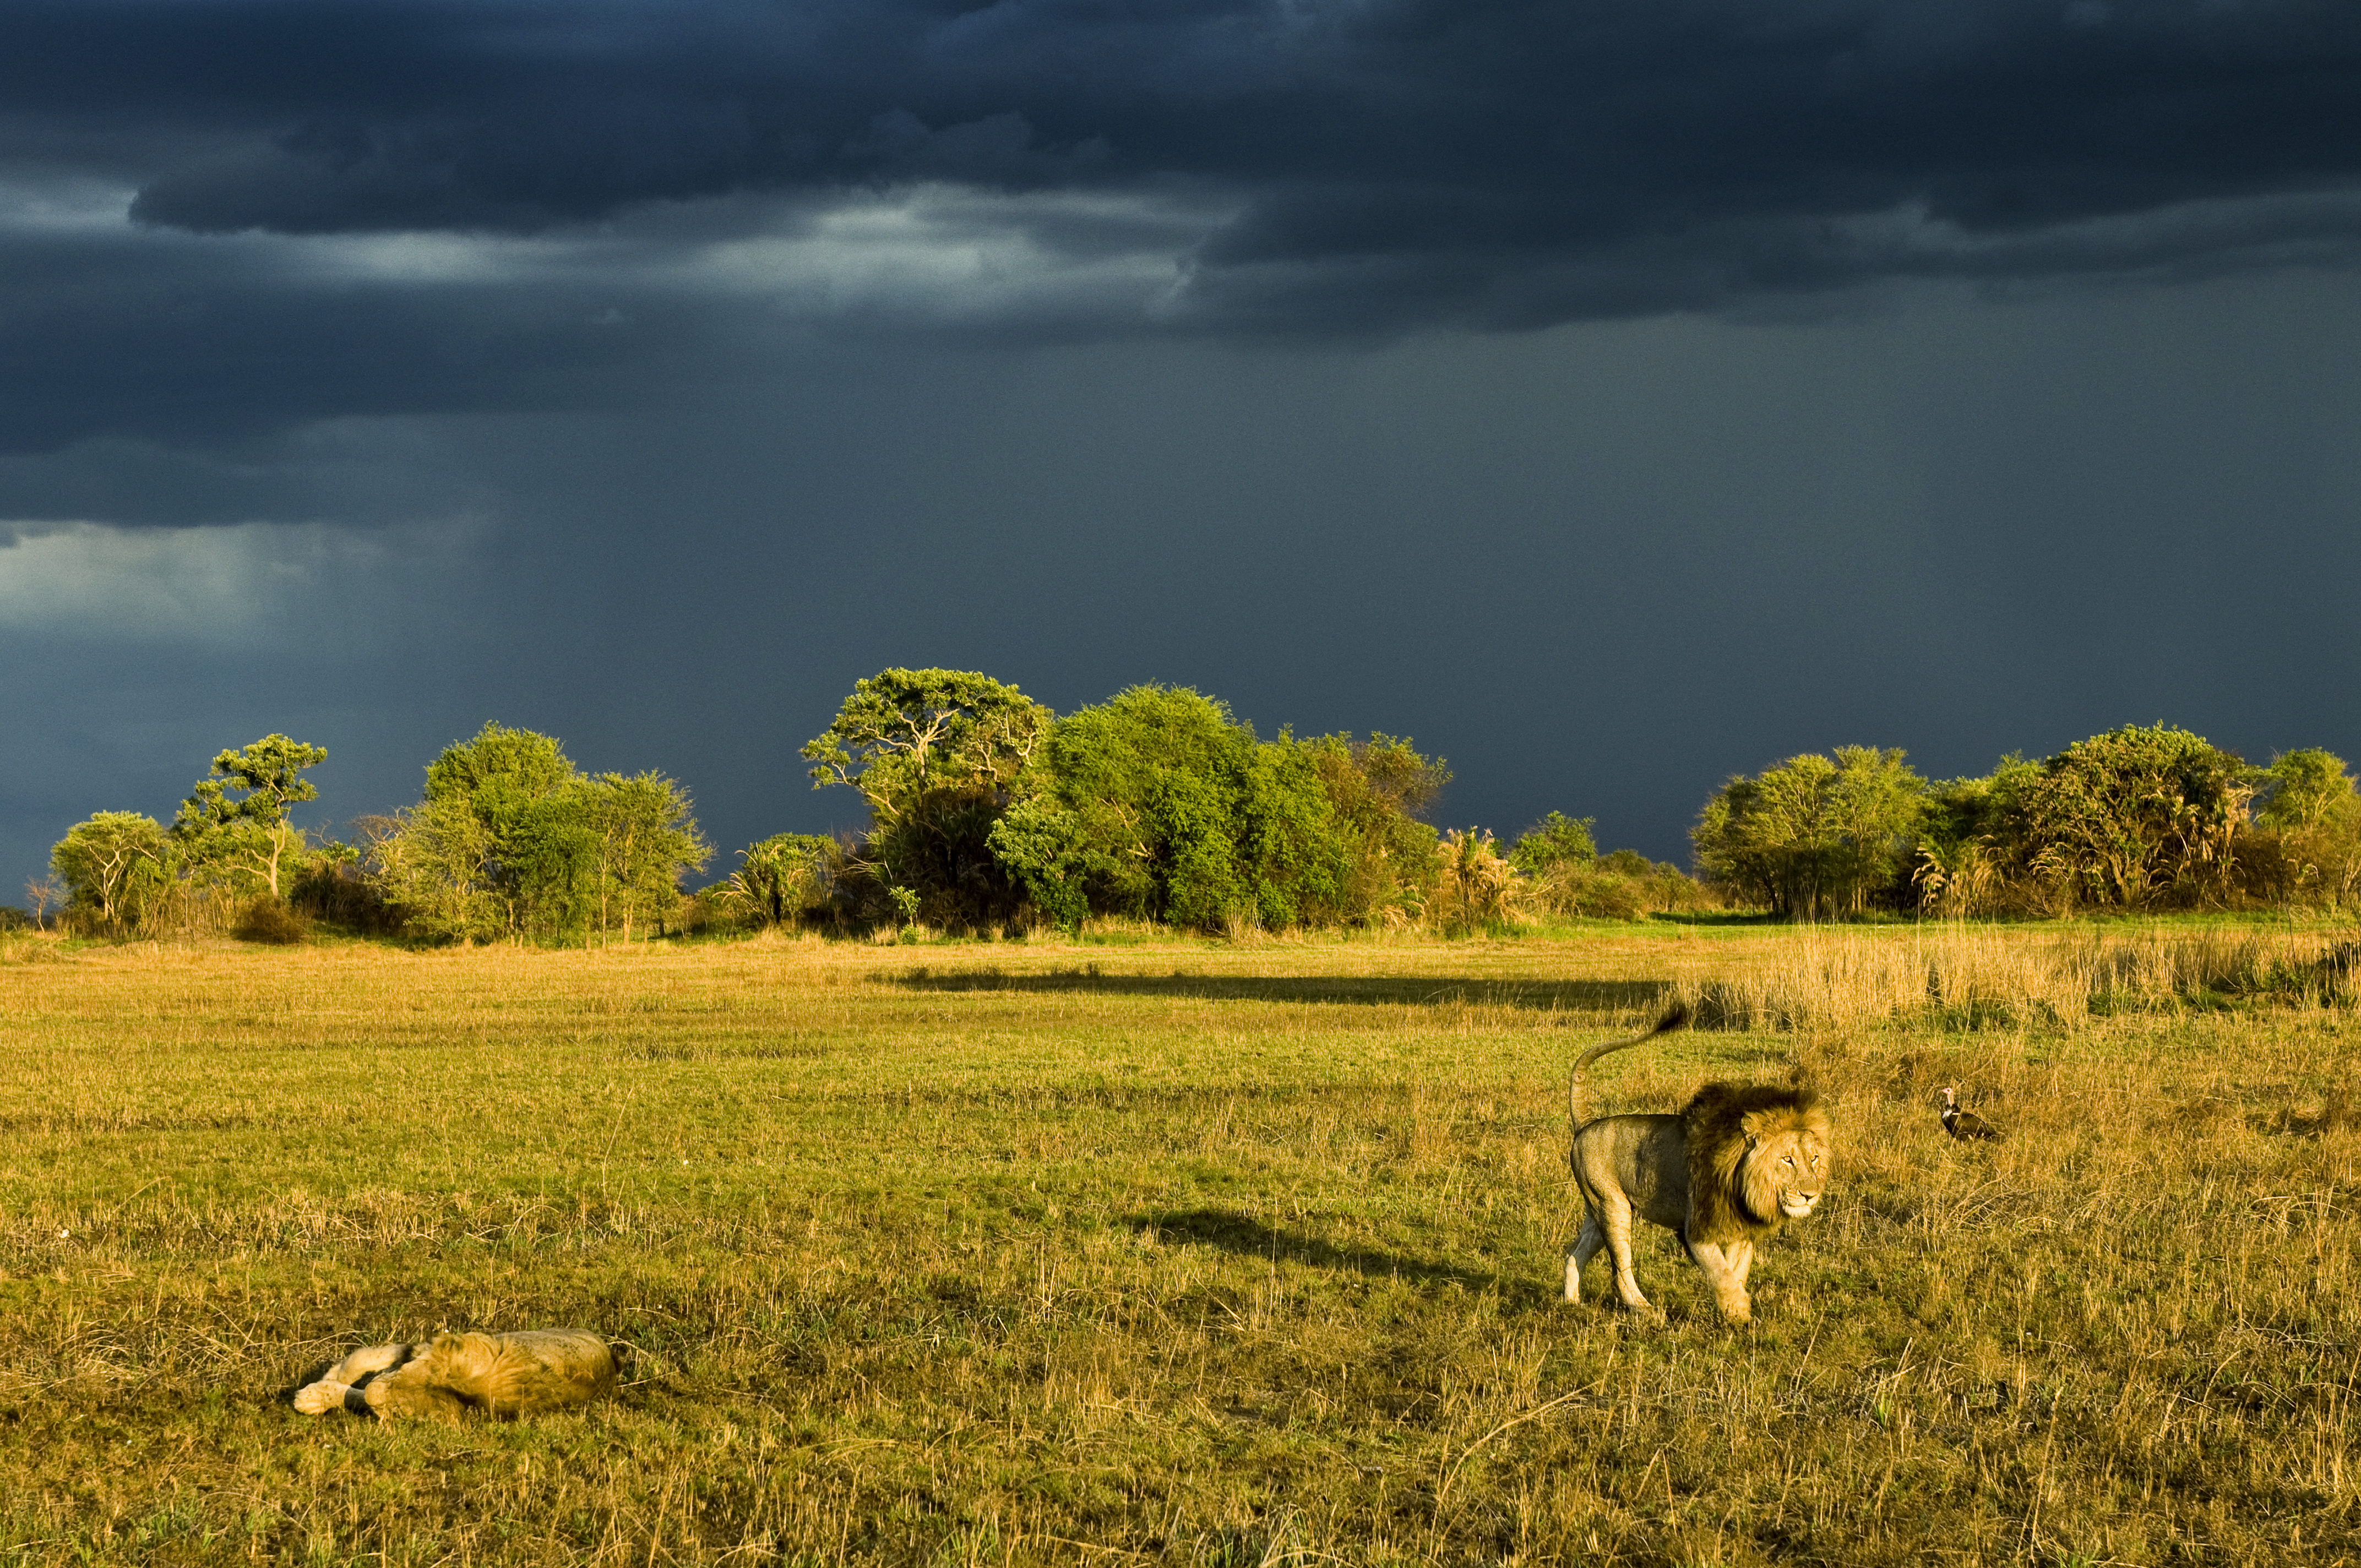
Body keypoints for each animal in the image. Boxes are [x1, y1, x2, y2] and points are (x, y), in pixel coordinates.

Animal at [1558, 1006, 1832, 1322]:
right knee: (1619, 1269)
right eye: (1787, 1159)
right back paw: (1645, 1309)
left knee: (1574, 1252)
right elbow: (1721, 1273)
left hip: (1597, 1209)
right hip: (1613, 1206)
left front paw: (1734, 1312)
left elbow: (1736, 1272)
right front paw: (1739, 1311)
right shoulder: (1696, 1228)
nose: (1810, 1195)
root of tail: (1585, 1125)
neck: (1743, 1181)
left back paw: (1571, 1303)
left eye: (1814, 1159)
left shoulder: (1741, 1231)